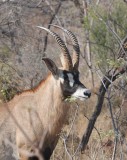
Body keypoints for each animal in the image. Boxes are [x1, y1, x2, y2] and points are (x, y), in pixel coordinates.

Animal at [0, 26, 91, 160]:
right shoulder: (25, 153)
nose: (87, 93)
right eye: (65, 77)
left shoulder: (47, 152)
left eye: (77, 75)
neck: (39, 111)